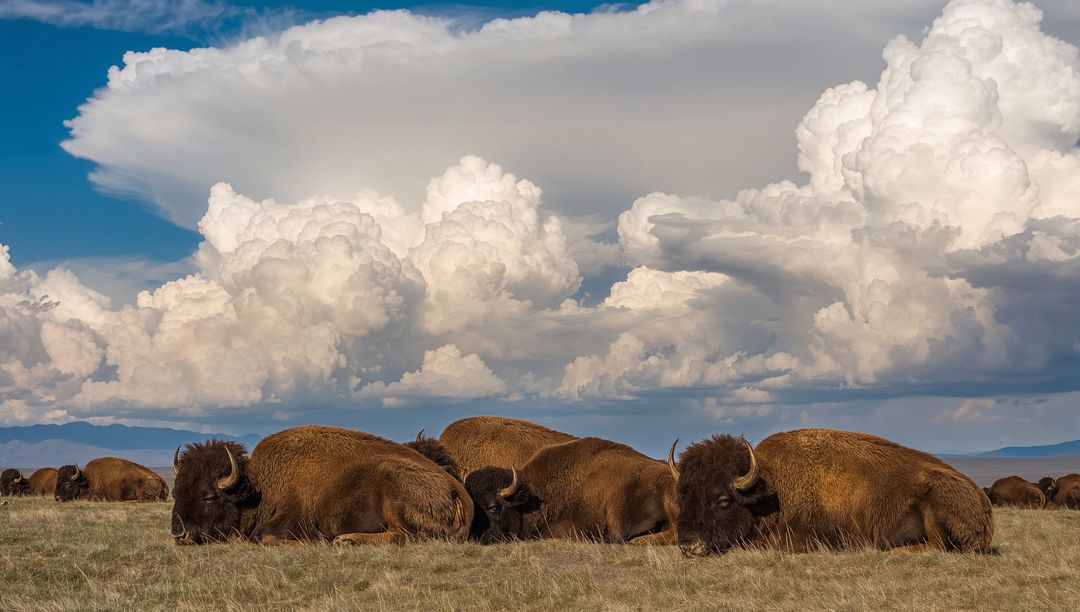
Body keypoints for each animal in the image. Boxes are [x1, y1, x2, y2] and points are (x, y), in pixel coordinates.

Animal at [170, 425, 472, 545]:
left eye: (209, 497)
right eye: (176, 493)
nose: (178, 535)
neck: (259, 486)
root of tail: (459, 492)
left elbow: (263, 538)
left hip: (392, 486)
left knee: (404, 535)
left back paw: (345, 539)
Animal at [670, 428, 993, 556]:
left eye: (722, 500)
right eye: (682, 496)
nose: (687, 545)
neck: (771, 487)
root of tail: (983, 504)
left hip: (934, 498)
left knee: (936, 546)